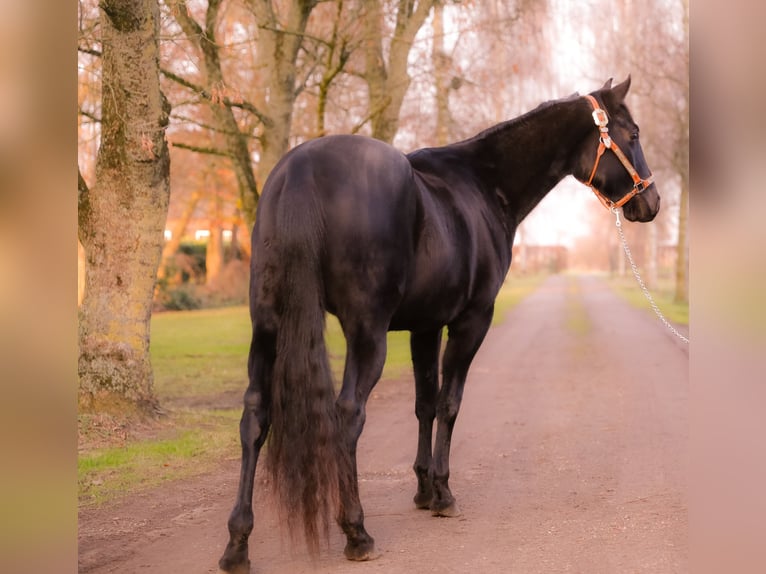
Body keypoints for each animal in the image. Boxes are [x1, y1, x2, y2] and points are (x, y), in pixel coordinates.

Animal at [218, 77, 660, 572]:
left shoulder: (423, 327)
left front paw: (423, 488)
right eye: (633, 134)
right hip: (365, 334)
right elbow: (450, 403)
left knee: (255, 416)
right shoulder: (471, 321)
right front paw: (444, 493)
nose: (652, 202)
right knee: (347, 414)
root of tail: (300, 169)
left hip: (267, 326)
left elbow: (424, 404)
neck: (483, 184)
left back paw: (238, 543)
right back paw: (356, 532)